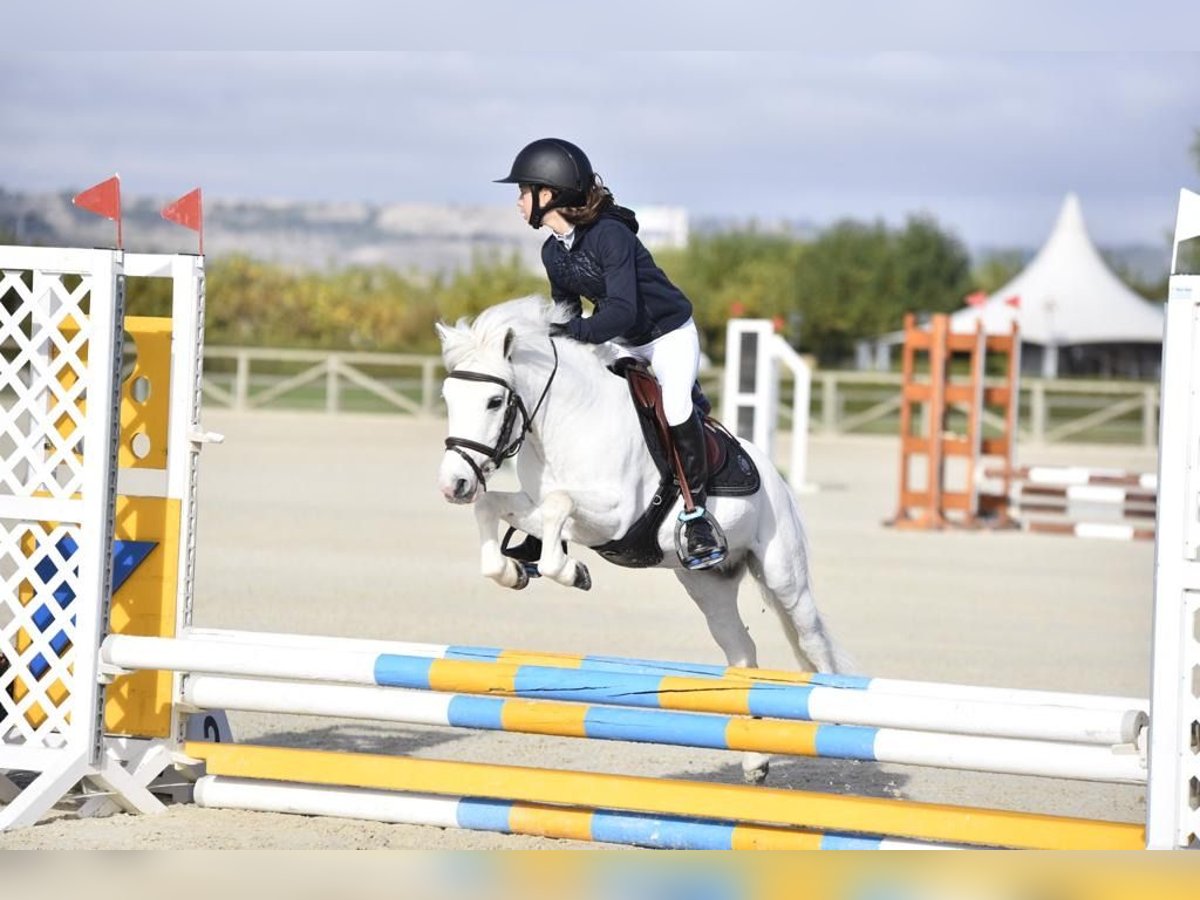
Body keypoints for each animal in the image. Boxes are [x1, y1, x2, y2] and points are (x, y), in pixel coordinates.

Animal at [436, 297, 849, 782]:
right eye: (447, 397)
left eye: (494, 400)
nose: (454, 484)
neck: (568, 420)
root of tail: (773, 476)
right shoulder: (531, 501)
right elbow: (494, 509)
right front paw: (513, 569)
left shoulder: (615, 515)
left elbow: (558, 505)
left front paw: (572, 572)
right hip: (708, 585)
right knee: (741, 651)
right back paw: (754, 761)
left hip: (783, 575)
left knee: (811, 638)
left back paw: (835, 713)